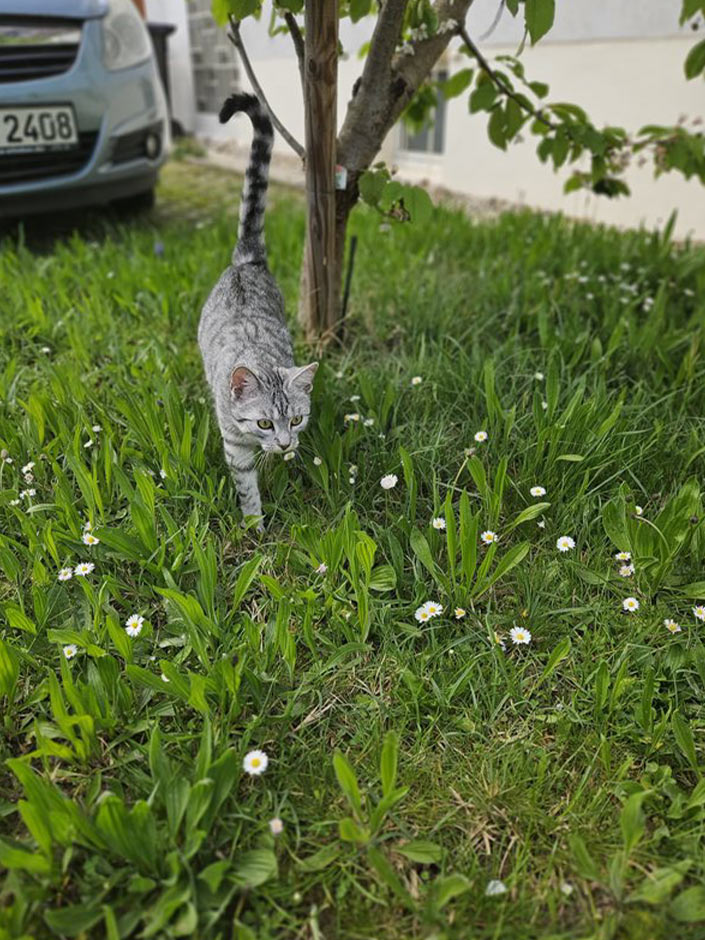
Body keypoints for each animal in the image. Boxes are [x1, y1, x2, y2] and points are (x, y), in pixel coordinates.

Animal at [199, 93, 318, 528]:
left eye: (296, 419)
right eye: (264, 422)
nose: (283, 441)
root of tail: (247, 261)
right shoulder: (234, 446)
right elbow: (246, 485)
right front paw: (255, 525)